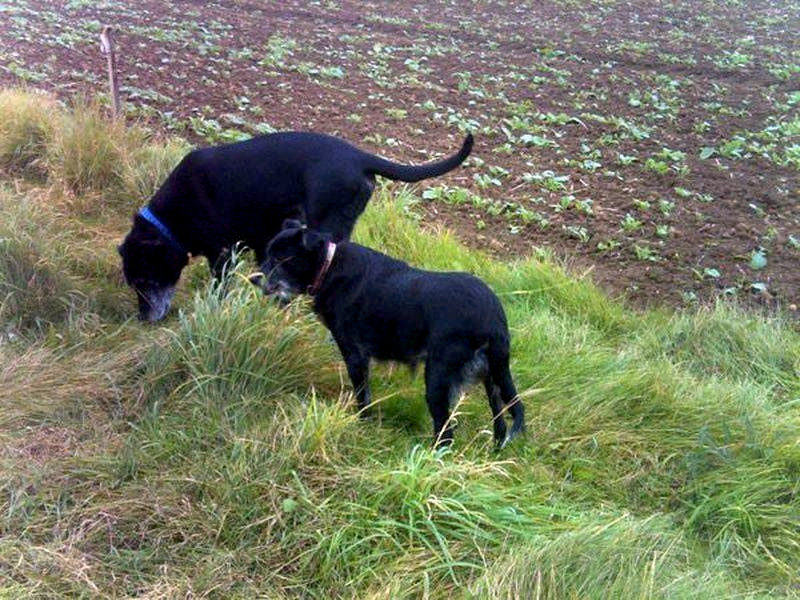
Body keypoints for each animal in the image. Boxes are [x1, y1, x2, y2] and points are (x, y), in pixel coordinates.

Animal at [115, 129, 472, 322]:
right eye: (133, 283)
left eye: (146, 280)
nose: (143, 319)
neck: (169, 220)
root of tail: (360, 157)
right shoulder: (263, 241)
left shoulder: (222, 254)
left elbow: (220, 289)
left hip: (326, 225)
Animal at [250, 220, 524, 446]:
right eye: (268, 253)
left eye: (281, 258)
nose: (253, 278)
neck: (328, 267)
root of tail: (493, 317)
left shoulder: (355, 355)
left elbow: (363, 398)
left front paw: (362, 426)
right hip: (491, 377)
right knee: (501, 418)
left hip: (438, 376)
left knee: (445, 433)